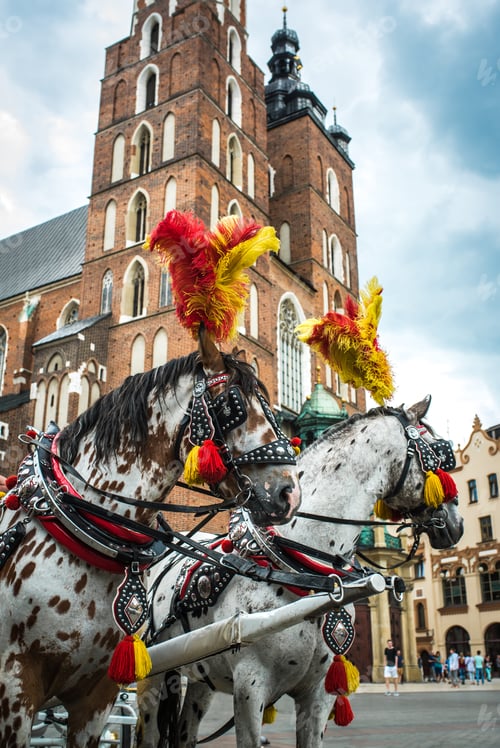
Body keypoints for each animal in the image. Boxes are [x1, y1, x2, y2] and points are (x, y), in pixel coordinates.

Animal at [136, 396, 464, 748]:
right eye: (439, 453)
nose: (457, 524)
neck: (302, 569)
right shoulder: (249, 687)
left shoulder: (319, 693)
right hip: (151, 671)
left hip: (201, 677)